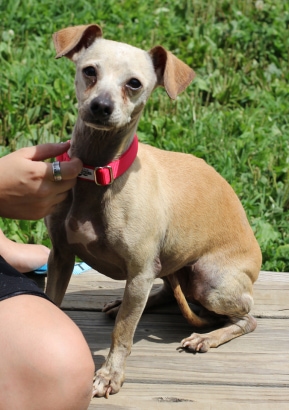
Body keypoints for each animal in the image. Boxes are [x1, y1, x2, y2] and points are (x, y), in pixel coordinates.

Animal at [45, 24, 260, 398]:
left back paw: (207, 337)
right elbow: (51, 304)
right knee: (167, 290)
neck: (99, 171)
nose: (101, 106)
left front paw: (110, 375)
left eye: (134, 83)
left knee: (246, 317)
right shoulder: (60, 256)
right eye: (89, 71)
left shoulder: (140, 270)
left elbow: (124, 332)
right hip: (170, 272)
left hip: (210, 282)